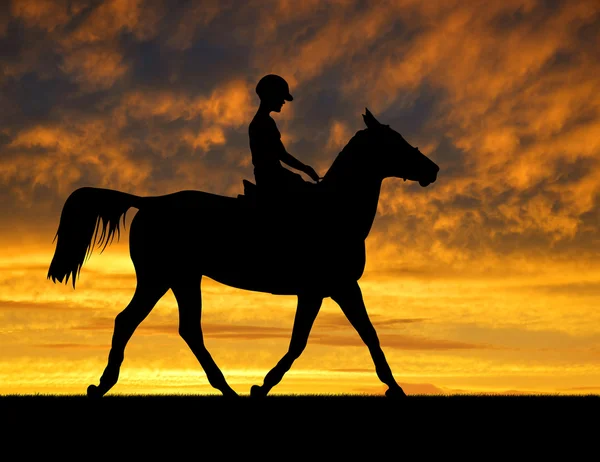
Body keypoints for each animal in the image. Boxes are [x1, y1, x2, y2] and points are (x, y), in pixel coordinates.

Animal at [48, 108, 440, 398]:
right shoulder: (331, 288)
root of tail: (150, 202)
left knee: (179, 328)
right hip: (161, 277)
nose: (433, 169)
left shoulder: (328, 290)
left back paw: (222, 389)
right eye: (395, 141)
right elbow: (331, 339)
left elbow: (338, 337)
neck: (335, 210)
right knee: (133, 322)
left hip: (179, 279)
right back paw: (108, 386)